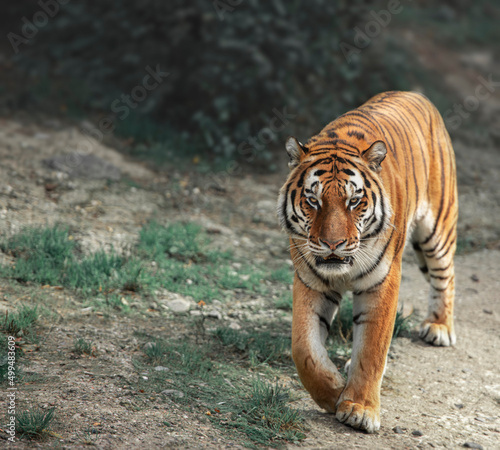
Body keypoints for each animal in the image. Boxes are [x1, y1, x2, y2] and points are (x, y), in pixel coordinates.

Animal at [278, 90, 458, 432]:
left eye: (354, 201)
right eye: (312, 201)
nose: (332, 244)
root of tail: (417, 94)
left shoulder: (382, 281)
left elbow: (373, 347)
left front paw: (359, 409)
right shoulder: (310, 279)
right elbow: (303, 348)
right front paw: (333, 392)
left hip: (437, 229)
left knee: (446, 275)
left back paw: (439, 327)